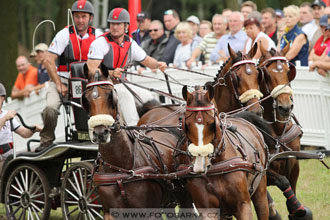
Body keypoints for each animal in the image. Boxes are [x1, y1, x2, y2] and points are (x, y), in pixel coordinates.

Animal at [80, 62, 191, 219]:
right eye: (85, 99)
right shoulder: (110, 212)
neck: (120, 169)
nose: (100, 132)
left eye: (111, 96)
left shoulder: (149, 212)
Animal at [179, 85, 270, 219]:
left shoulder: (243, 205)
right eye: (187, 125)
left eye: (212, 123)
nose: (200, 164)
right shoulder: (208, 209)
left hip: (261, 189)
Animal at [258, 44, 312, 220]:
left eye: (289, 71)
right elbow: (282, 181)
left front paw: (296, 209)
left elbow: (291, 186)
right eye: (266, 75)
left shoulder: (294, 164)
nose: (285, 107)